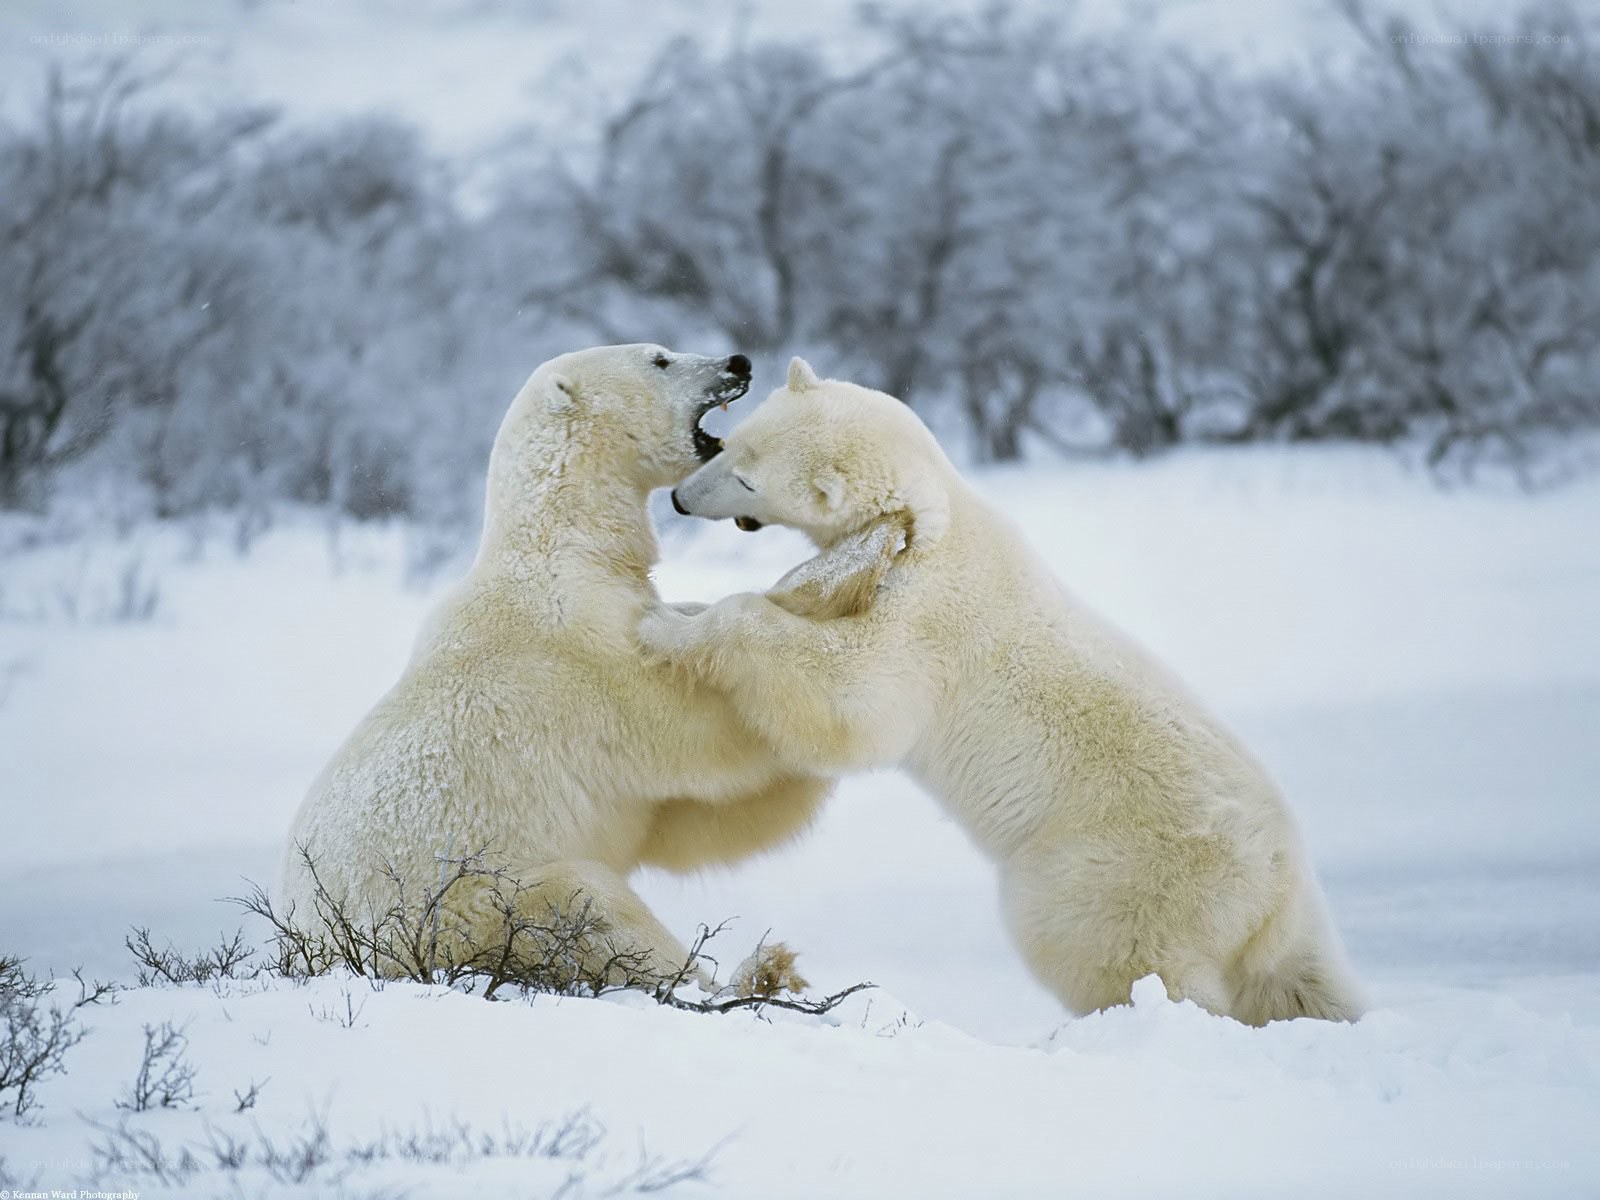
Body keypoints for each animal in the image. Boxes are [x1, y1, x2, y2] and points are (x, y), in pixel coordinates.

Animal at [279, 345, 823, 992]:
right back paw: (747, 973)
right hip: (469, 905)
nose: (738, 362)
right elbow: (699, 735)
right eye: (661, 359)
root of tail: (311, 951)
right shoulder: (583, 657)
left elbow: (686, 822)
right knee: (589, 907)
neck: (563, 548)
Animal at [639, 356, 1366, 1025]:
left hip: (1118, 869)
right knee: (1296, 980)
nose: (680, 500)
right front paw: (680, 607)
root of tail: (1279, 880)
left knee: (1110, 950)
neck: (935, 520)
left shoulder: (927, 622)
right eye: (731, 444)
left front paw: (670, 627)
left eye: (746, 477)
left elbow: (852, 697)